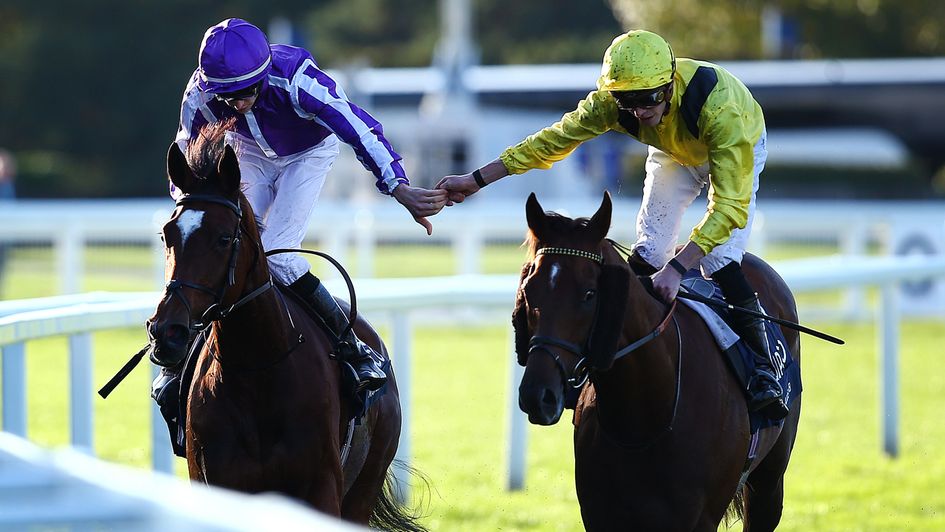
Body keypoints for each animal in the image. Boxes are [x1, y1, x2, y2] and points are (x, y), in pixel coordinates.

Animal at [147, 127, 420, 528]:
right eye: (167, 234)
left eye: (224, 238)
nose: (168, 333)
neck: (257, 369)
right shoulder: (220, 486)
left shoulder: (320, 490)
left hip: (366, 483)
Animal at [512, 193, 800, 532]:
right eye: (528, 290)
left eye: (589, 294)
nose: (537, 396)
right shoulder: (602, 514)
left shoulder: (699, 518)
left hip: (768, 484)